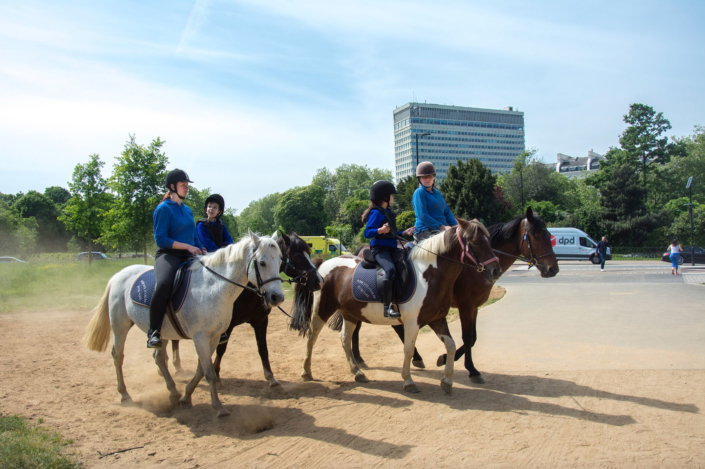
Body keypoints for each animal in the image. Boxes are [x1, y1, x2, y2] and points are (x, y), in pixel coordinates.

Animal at [85, 229, 286, 414]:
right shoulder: (201, 337)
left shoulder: (214, 336)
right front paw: (218, 406)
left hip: (163, 332)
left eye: (280, 261)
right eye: (262, 262)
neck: (213, 287)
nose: (277, 297)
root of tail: (118, 275)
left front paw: (186, 396)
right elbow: (208, 371)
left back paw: (173, 392)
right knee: (118, 356)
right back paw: (125, 394)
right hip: (120, 327)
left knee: (159, 358)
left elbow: (202, 369)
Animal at [169, 232, 324, 386]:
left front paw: (271, 377)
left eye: (309, 252)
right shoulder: (226, 326)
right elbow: (221, 349)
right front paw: (216, 374)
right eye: (297, 256)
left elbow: (263, 348)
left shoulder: (260, 321)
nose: (319, 281)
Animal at [288, 218, 500, 394]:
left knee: (345, 339)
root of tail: (322, 265)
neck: (429, 274)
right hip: (321, 309)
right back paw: (306, 371)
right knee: (312, 336)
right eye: (476, 242)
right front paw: (408, 381)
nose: (495, 270)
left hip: (350, 314)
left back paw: (357, 372)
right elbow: (408, 349)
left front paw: (447, 380)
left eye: (490, 240)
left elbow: (451, 345)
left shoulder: (437, 319)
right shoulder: (413, 322)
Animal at [338, 207, 560, 382]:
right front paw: (461, 366)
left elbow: (473, 337)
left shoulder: (473, 307)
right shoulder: (465, 306)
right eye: (537, 236)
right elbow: (468, 338)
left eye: (548, 234)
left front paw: (456, 362)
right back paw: (363, 359)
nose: (553, 269)